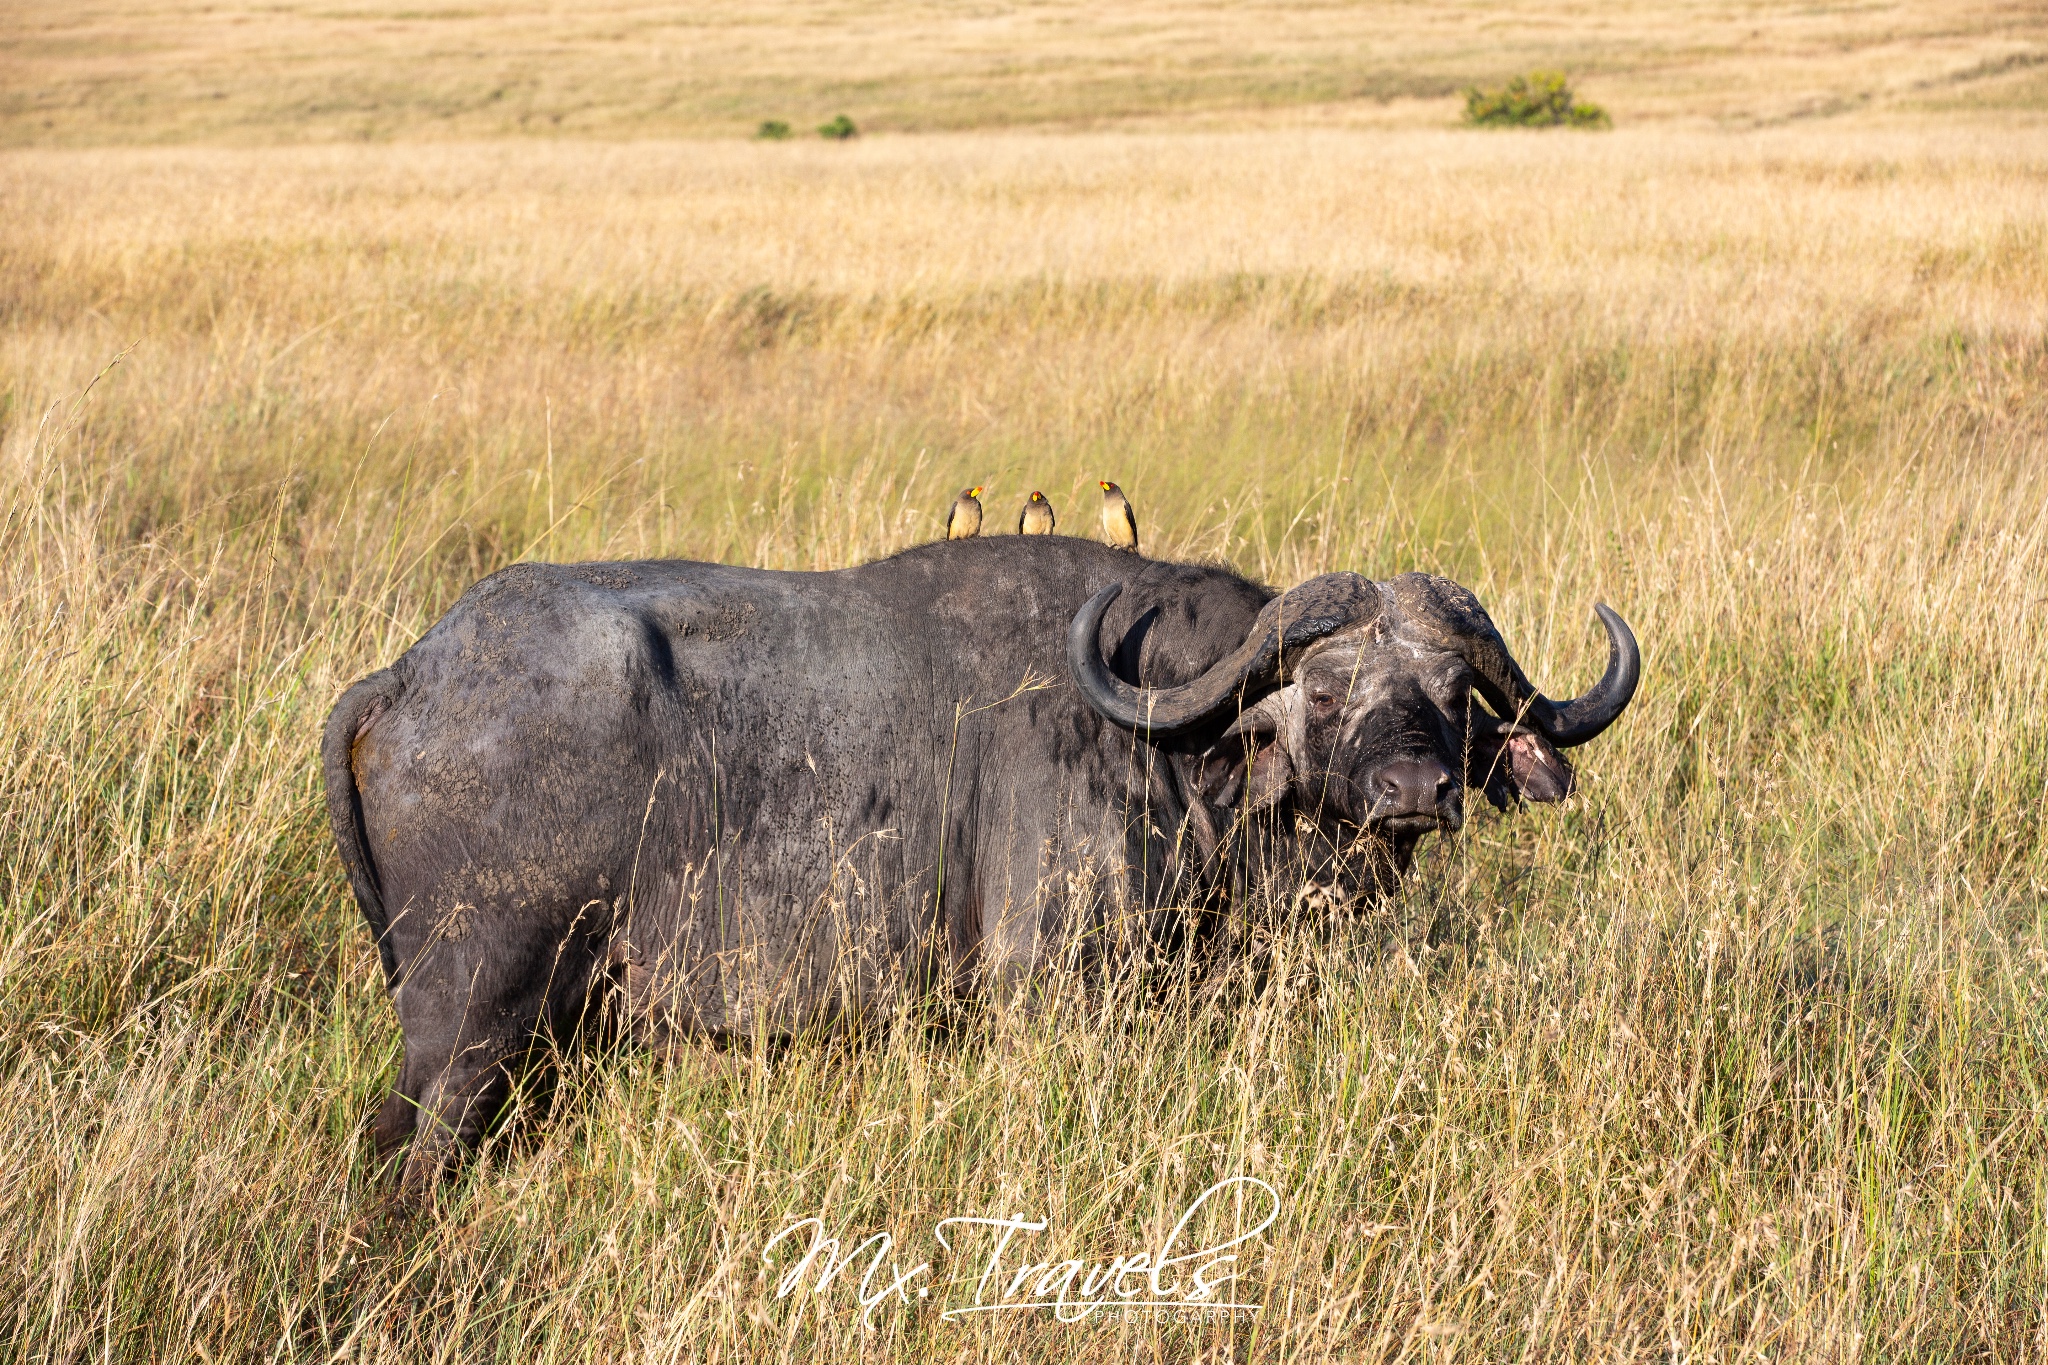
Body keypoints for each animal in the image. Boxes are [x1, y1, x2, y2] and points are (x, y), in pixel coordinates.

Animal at [323, 532, 1630, 1186]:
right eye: (1321, 686)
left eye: (1451, 690)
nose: (1414, 792)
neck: (1168, 740)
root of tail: (416, 671)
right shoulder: (1054, 993)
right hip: (470, 1030)